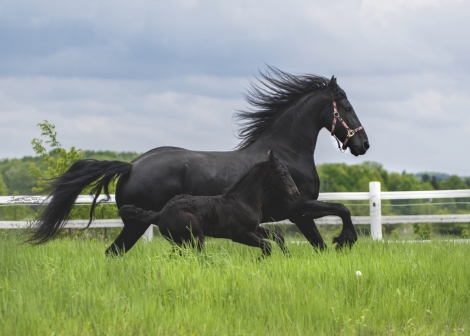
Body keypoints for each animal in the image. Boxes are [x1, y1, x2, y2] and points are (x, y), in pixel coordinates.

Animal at [119, 150, 300, 258]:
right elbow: (267, 246)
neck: (244, 201)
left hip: (180, 242)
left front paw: (287, 257)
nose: (296, 193)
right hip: (194, 238)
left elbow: (278, 237)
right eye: (283, 173)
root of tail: (159, 214)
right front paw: (259, 261)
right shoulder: (239, 234)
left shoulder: (254, 228)